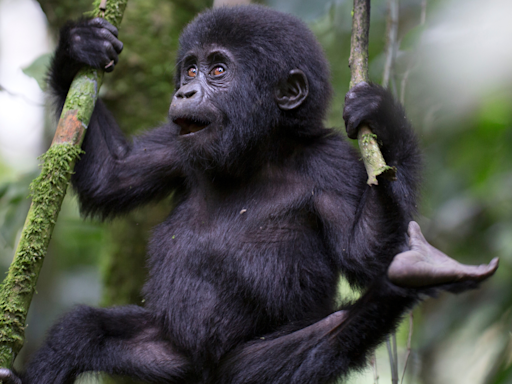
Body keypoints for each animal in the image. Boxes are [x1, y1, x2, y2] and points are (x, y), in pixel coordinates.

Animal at [0, 3, 496, 384]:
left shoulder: (331, 164)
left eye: (219, 70)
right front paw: (78, 47)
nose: (186, 90)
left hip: (253, 368)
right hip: (167, 354)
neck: (258, 151)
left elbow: (366, 253)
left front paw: (385, 119)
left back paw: (414, 274)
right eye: (191, 67)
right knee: (82, 331)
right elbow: (113, 176)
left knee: (331, 340)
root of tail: (206, 373)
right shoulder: (177, 146)